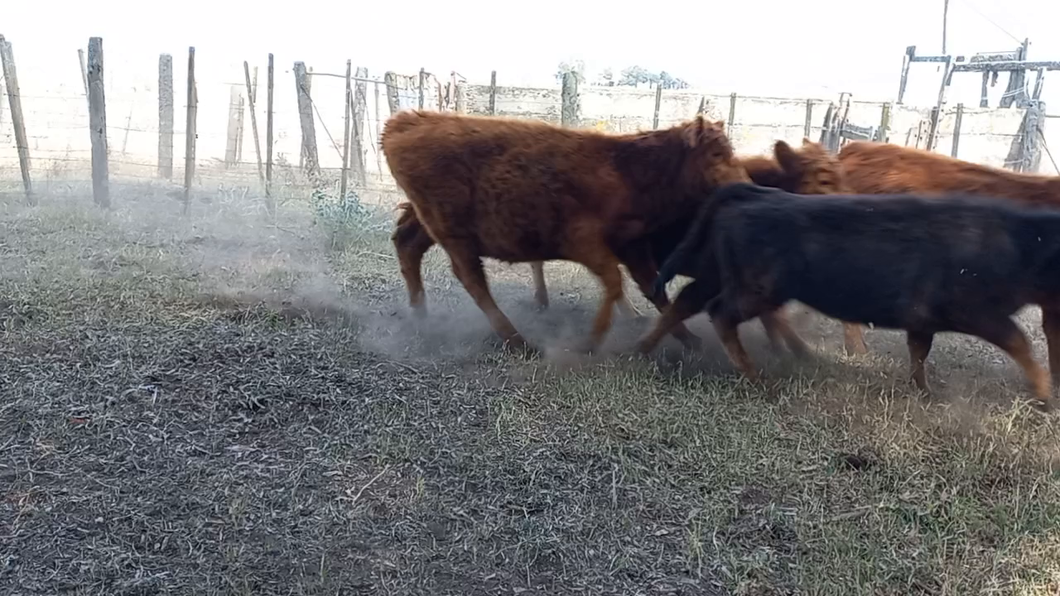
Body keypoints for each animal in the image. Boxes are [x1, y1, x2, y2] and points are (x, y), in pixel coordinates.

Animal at [385, 110, 750, 352]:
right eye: (716, 153)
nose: (746, 184)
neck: (627, 169)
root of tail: (404, 122)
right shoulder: (585, 243)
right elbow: (614, 282)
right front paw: (592, 340)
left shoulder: (631, 246)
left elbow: (654, 290)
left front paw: (688, 338)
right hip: (454, 236)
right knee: (472, 280)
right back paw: (517, 340)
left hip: (428, 225)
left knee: (407, 243)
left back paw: (421, 314)